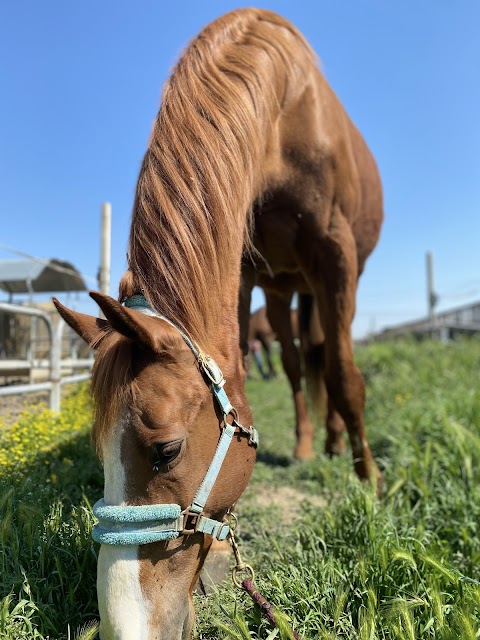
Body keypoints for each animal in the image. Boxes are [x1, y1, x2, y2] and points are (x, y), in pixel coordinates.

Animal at [53, 8, 382, 640]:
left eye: (165, 451)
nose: (125, 624)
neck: (285, 116)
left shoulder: (337, 258)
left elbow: (346, 375)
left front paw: (371, 481)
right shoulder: (245, 270)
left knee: (326, 357)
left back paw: (336, 445)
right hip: (280, 291)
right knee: (301, 362)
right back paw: (312, 444)